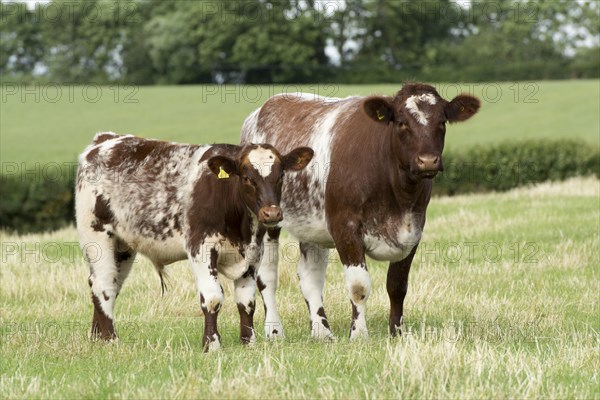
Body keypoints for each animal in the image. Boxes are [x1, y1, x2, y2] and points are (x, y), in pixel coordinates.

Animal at [75, 132, 314, 350]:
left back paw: (96, 337)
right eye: (247, 178)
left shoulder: (254, 254)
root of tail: (106, 139)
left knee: (106, 285)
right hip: (97, 238)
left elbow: (246, 302)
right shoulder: (201, 247)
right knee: (104, 285)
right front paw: (212, 344)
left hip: (123, 248)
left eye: (281, 175)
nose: (271, 213)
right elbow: (213, 297)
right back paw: (110, 339)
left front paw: (249, 342)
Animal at [241, 83, 480, 340]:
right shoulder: (345, 227)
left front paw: (396, 332)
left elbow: (397, 285)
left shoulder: (414, 230)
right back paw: (275, 330)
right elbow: (359, 286)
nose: (427, 161)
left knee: (310, 277)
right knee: (267, 276)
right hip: (268, 219)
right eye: (401, 122)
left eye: (442, 121)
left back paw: (322, 332)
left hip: (312, 226)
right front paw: (358, 334)